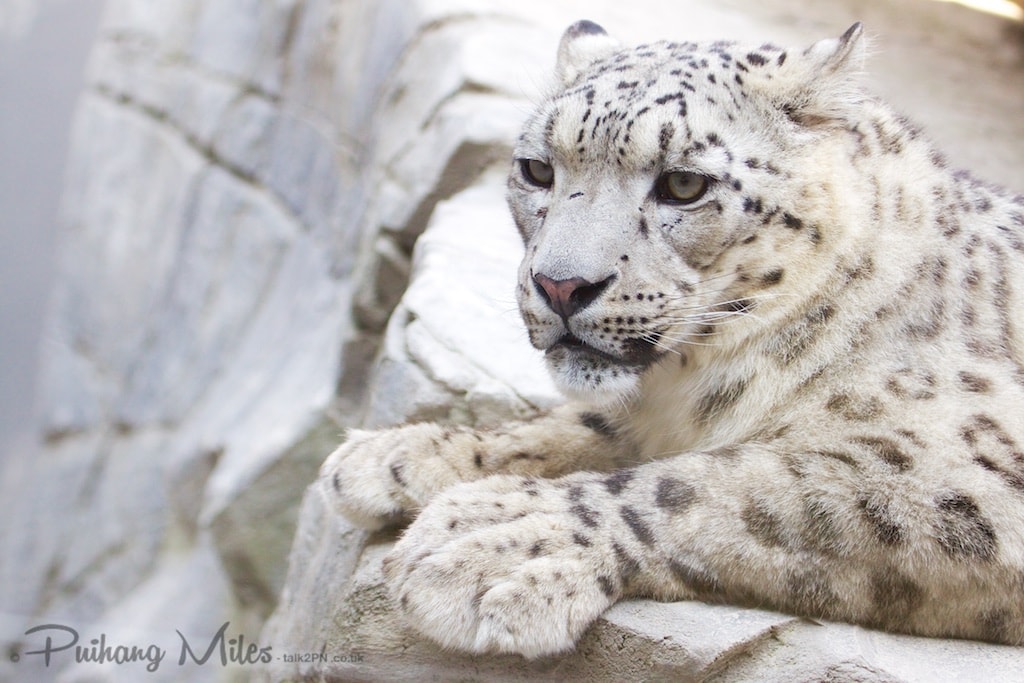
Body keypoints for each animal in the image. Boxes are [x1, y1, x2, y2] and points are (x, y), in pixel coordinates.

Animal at [321, 20, 1024, 658]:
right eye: (537, 169)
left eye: (685, 184)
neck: (697, 384)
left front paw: (491, 537)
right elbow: (582, 426)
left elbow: (735, 484)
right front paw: (398, 454)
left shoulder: (975, 468)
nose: (560, 285)